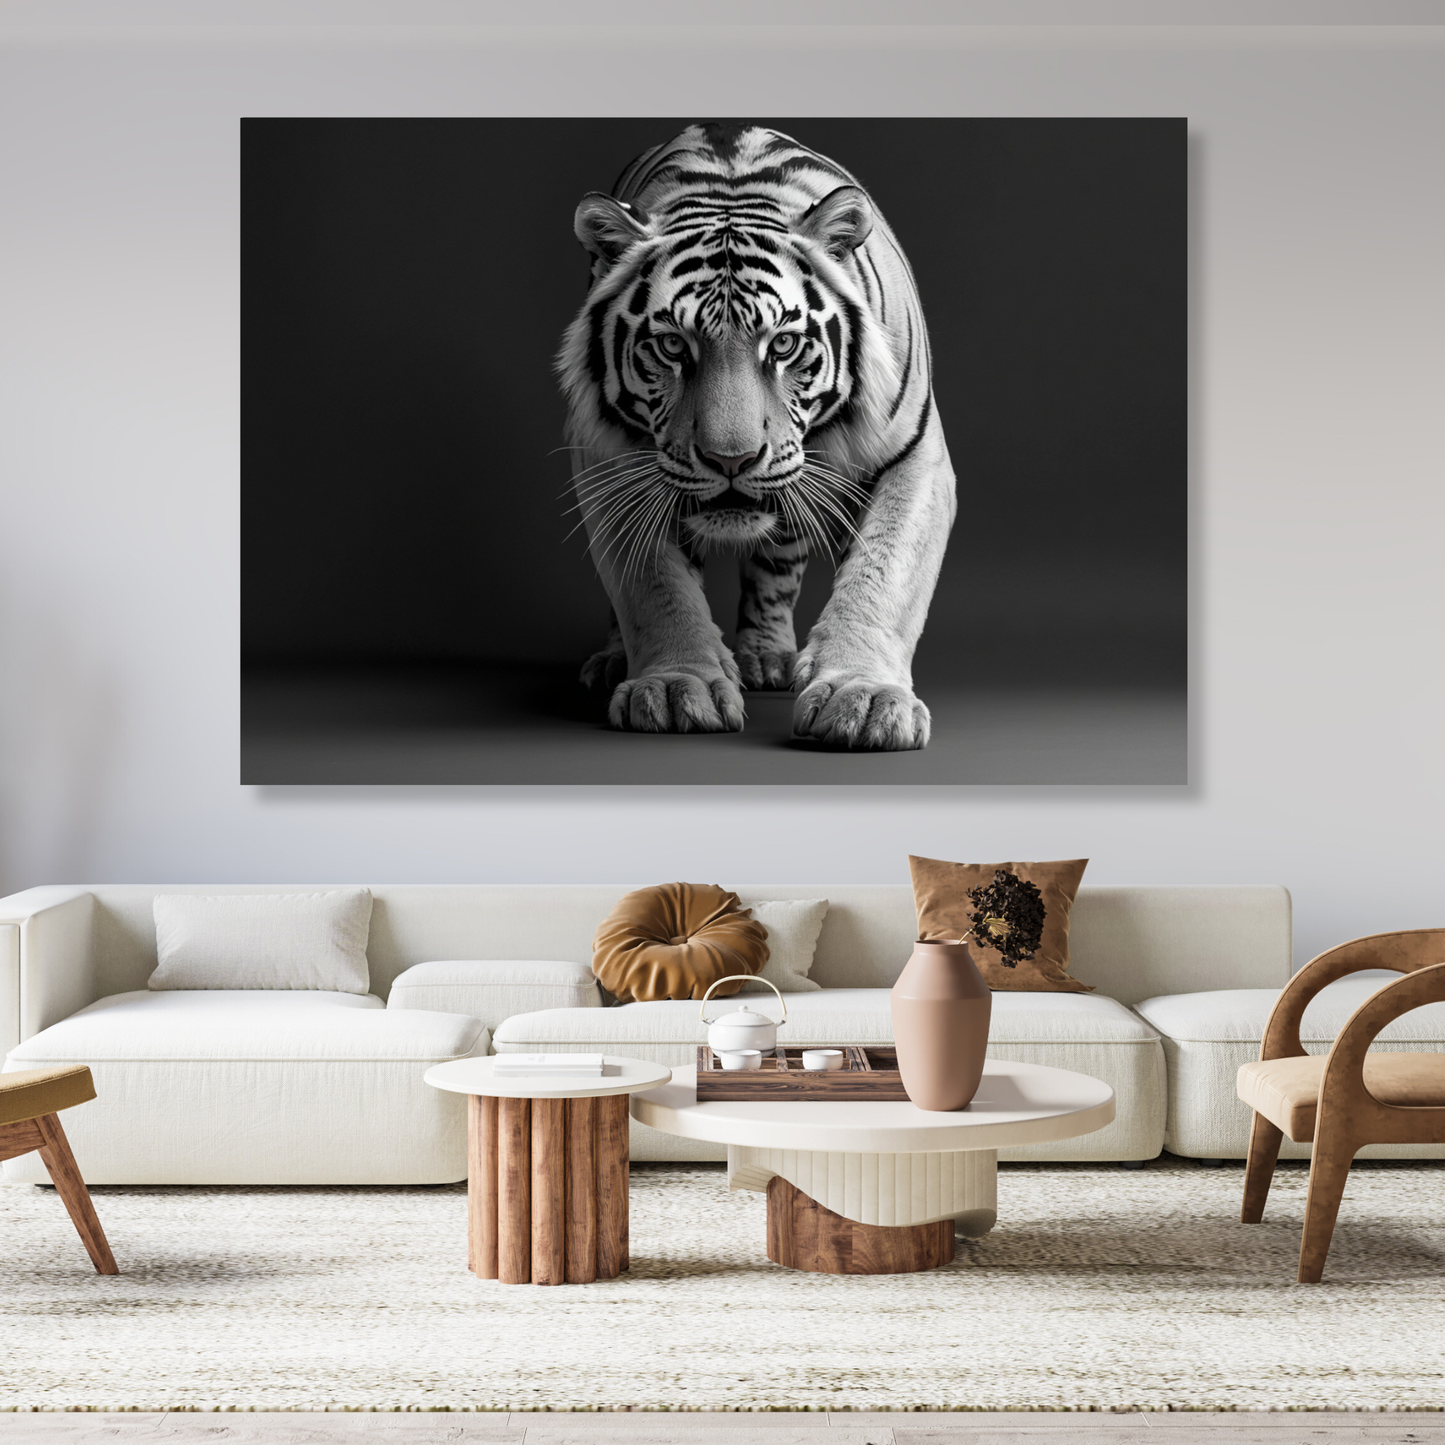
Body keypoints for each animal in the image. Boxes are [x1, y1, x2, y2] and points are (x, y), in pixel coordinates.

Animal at [555, 123, 956, 751]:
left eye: (784, 344)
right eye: (672, 346)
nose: (731, 460)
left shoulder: (916, 456)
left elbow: (885, 574)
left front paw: (862, 698)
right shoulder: (604, 459)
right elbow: (652, 585)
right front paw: (677, 686)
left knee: (777, 563)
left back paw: (767, 658)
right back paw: (616, 661)